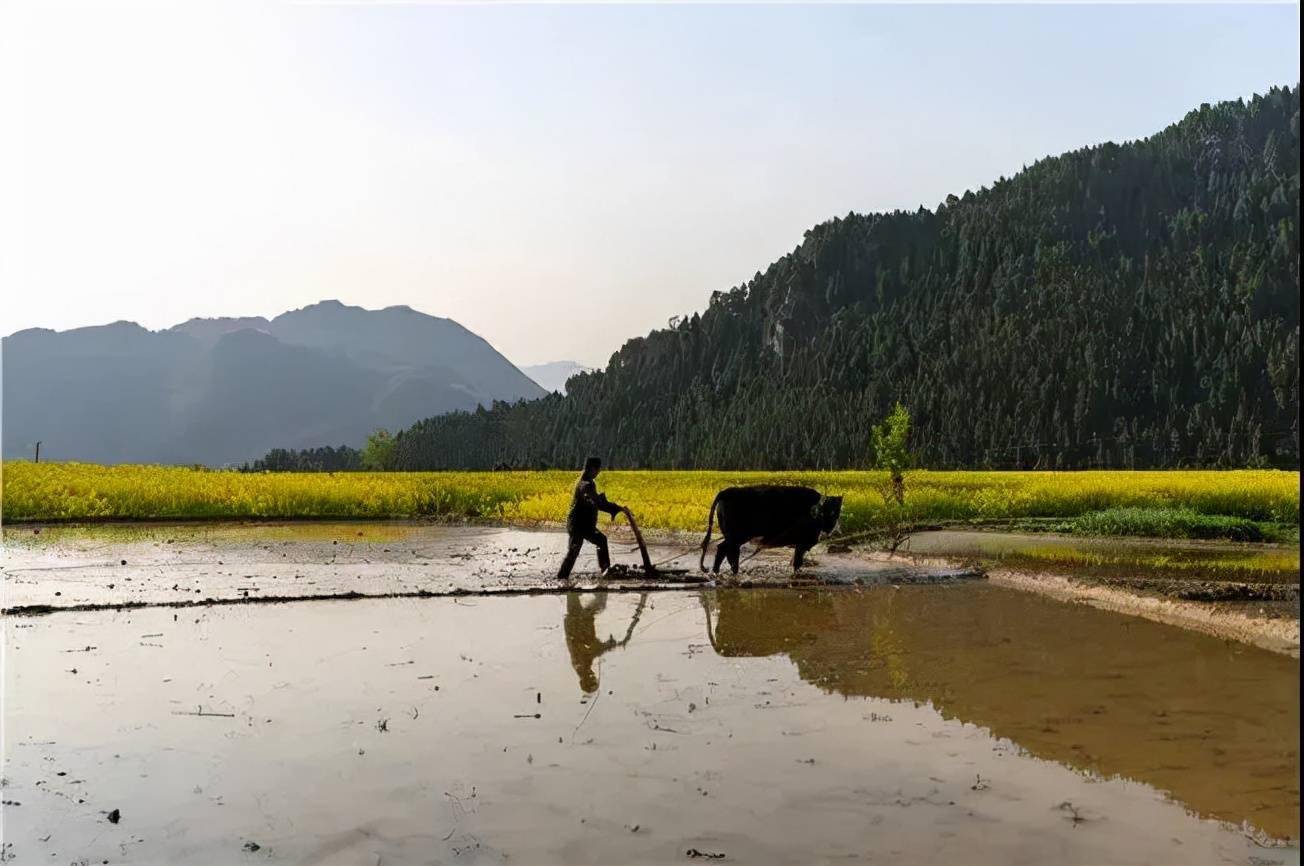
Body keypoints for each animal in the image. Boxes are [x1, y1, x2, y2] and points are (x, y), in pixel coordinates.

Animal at [698, 482, 839, 571]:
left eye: (836, 513)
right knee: (724, 549)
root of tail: (726, 491)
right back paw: (720, 571)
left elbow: (795, 561)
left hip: (734, 537)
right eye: (830, 513)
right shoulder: (803, 542)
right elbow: (797, 563)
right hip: (737, 536)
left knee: (729, 552)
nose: (831, 528)